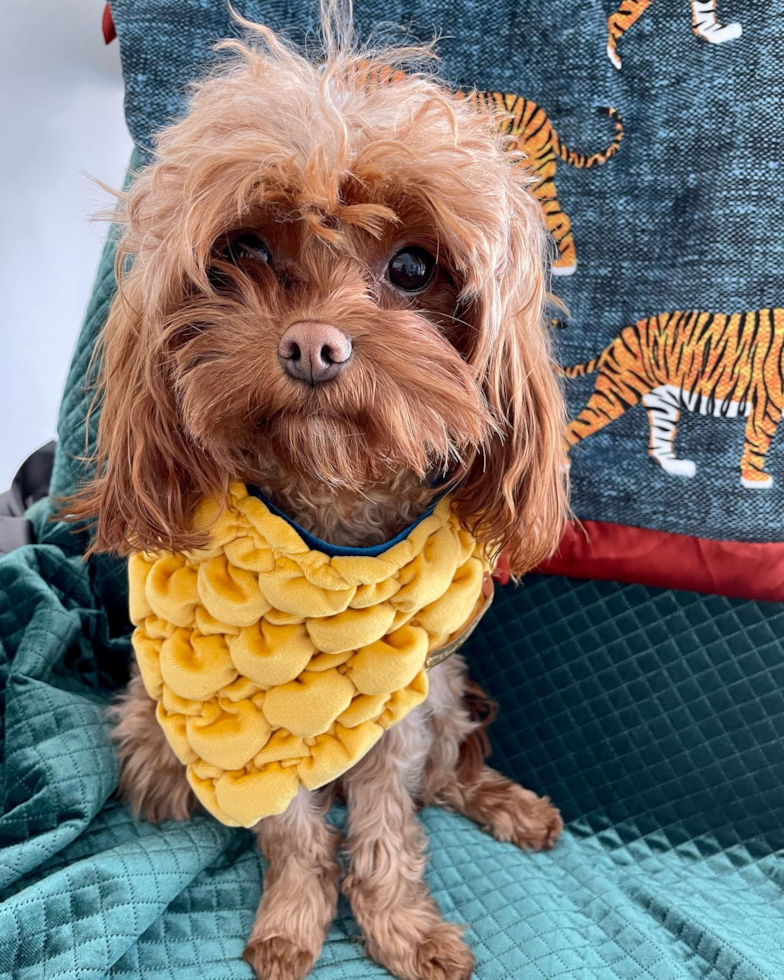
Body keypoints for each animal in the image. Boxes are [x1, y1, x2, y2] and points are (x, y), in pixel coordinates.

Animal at [64, 7, 568, 980]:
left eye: (413, 269)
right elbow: (295, 832)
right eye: (245, 248)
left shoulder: (397, 707)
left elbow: (387, 826)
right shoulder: (256, 735)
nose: (312, 345)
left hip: (444, 688)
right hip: (152, 726)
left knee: (451, 771)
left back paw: (511, 805)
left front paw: (402, 928)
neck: (325, 533)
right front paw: (293, 924)